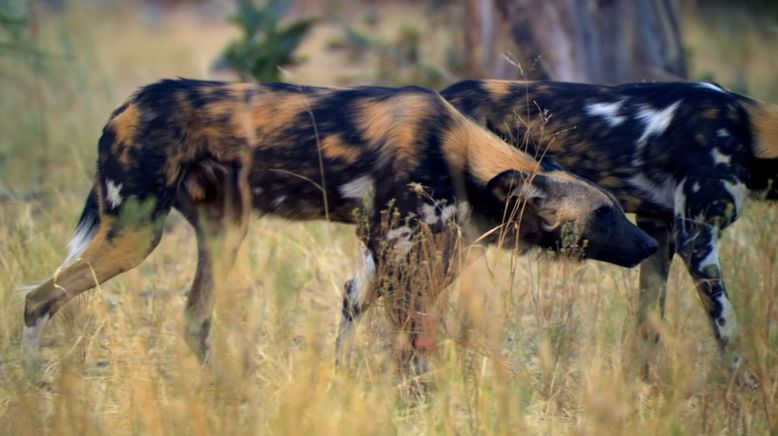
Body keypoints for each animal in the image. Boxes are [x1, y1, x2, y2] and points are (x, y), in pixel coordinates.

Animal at [22, 78, 656, 368]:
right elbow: (414, 346)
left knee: (193, 319)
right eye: (604, 212)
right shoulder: (399, 255)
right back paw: (29, 385)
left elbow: (354, 315)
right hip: (133, 235)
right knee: (35, 298)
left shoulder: (390, 253)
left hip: (222, 235)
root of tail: (127, 103)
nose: (652, 242)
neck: (460, 155)